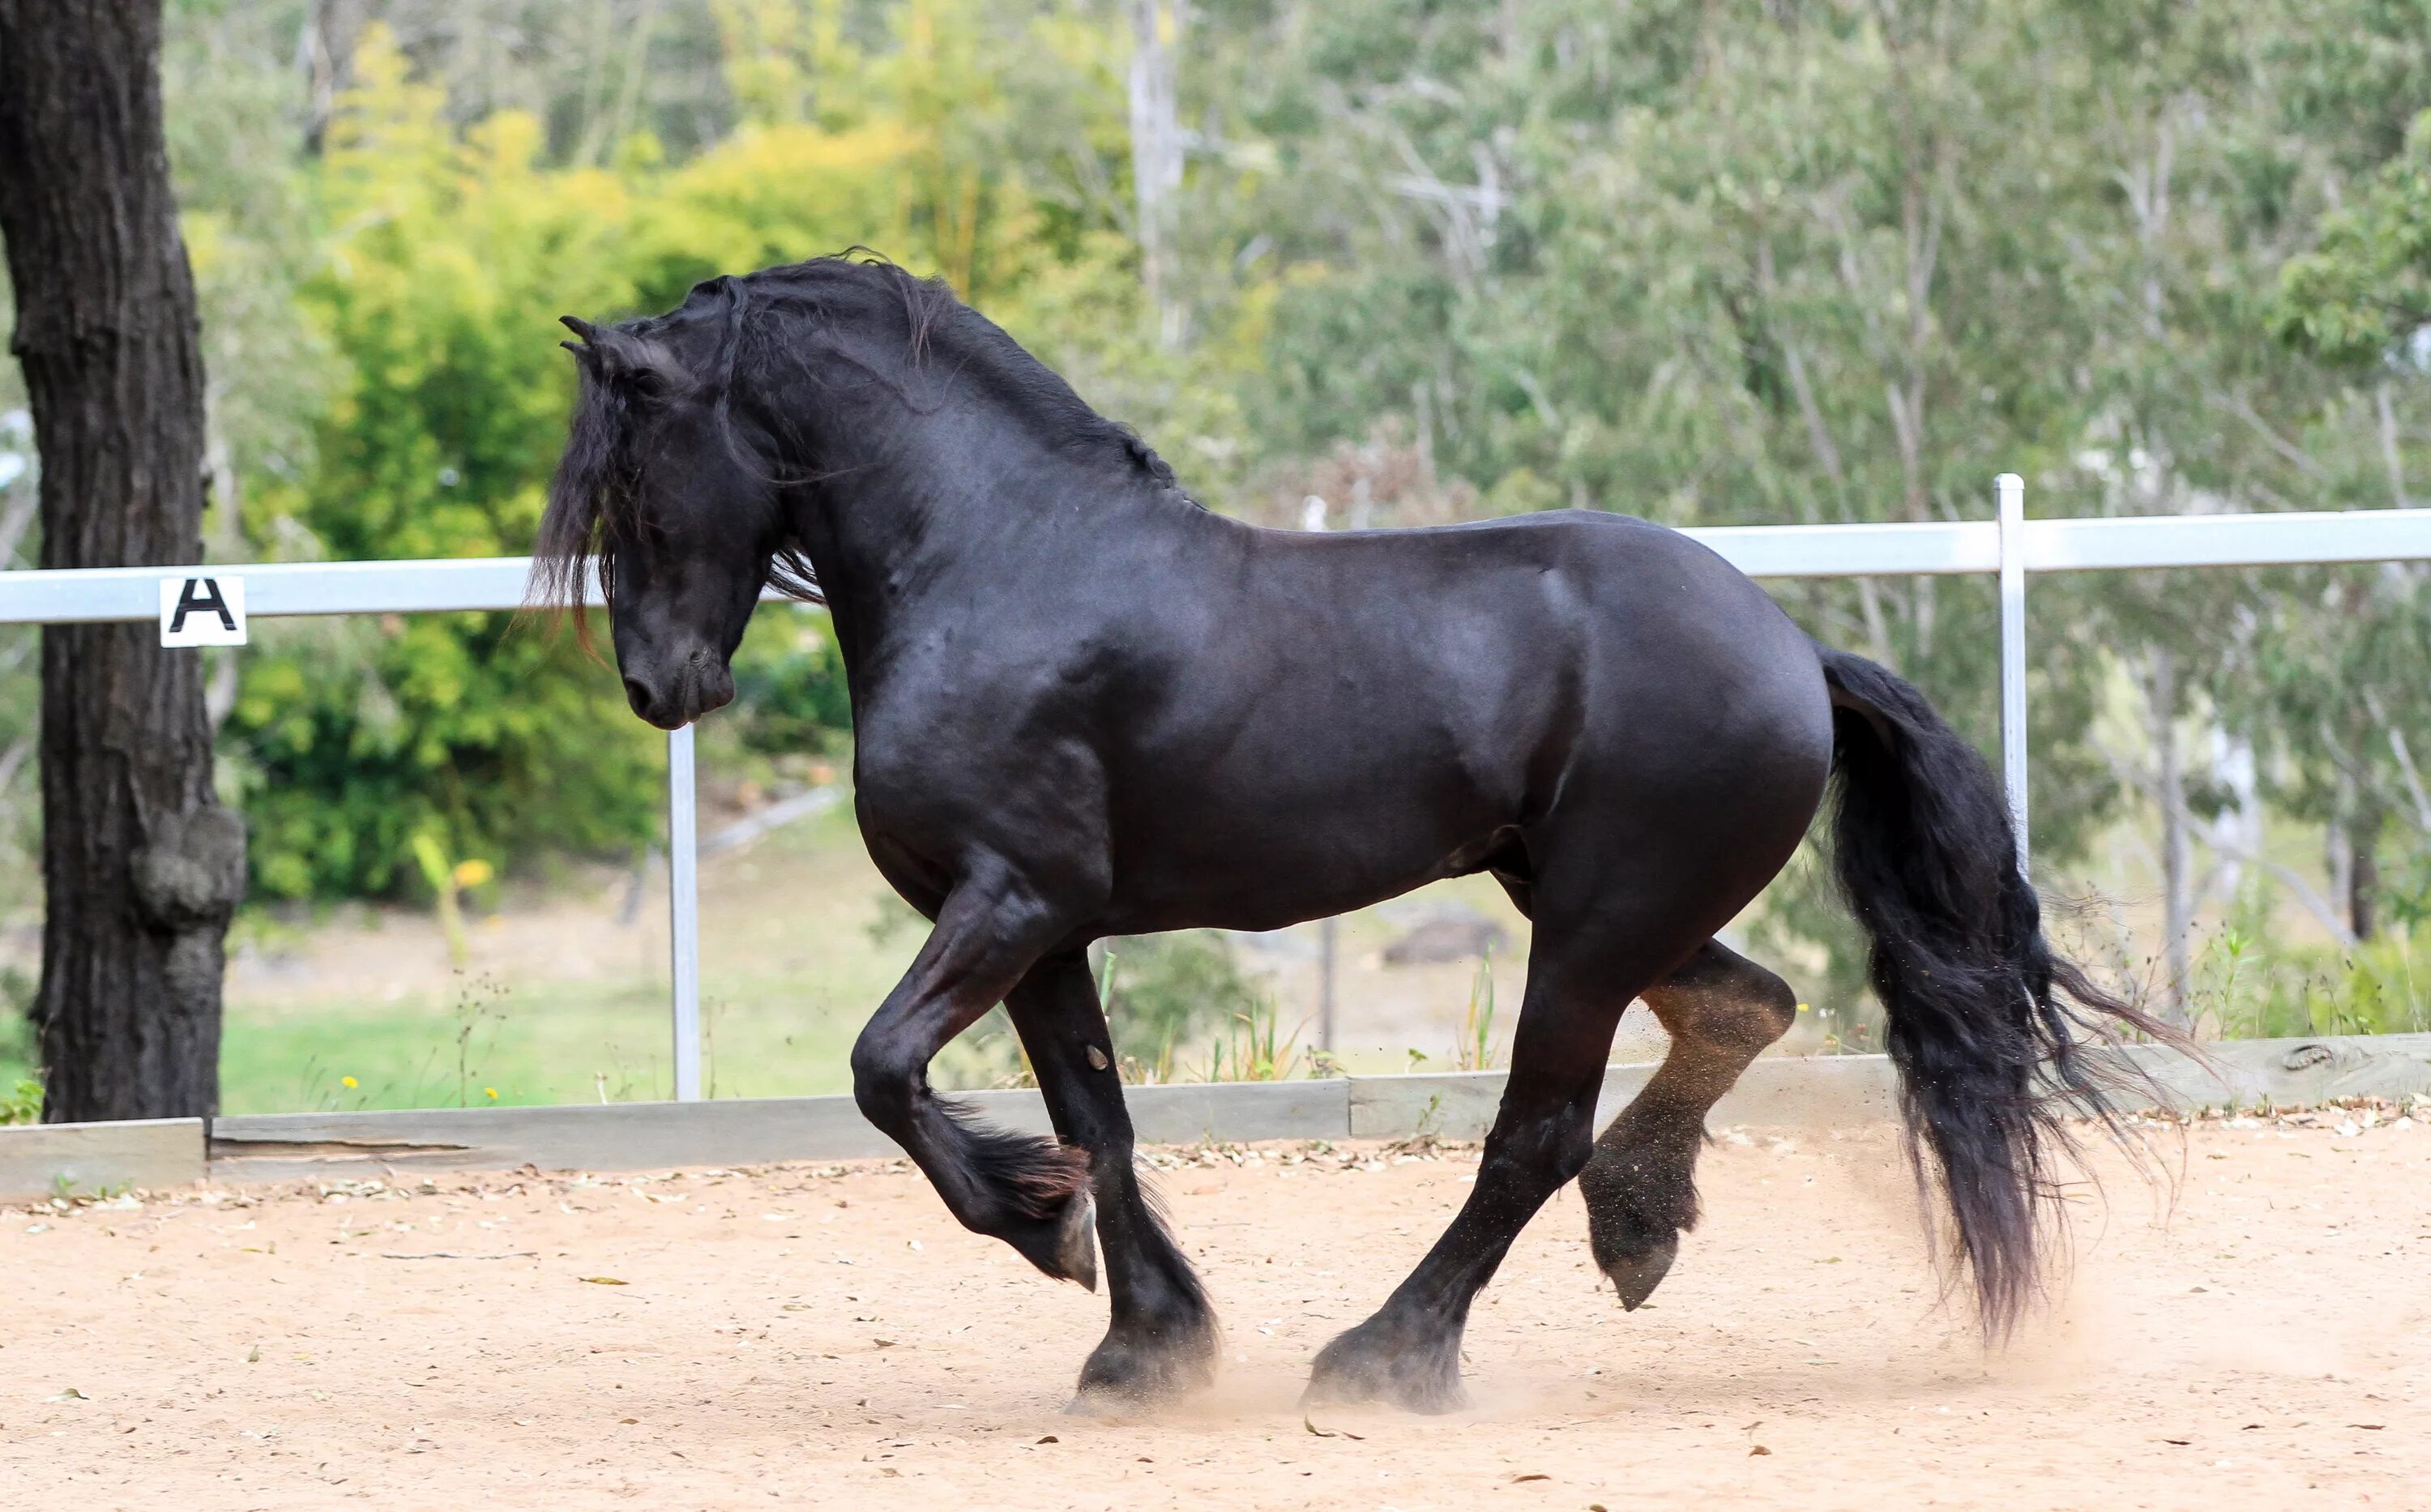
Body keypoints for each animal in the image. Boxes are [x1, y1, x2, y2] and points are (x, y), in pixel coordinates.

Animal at [542, 258, 2159, 1410]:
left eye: (638, 484)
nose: (658, 687)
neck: (1000, 565)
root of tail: (1793, 648)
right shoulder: (1045, 930)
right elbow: (1099, 1122)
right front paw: (1147, 1346)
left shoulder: (1008, 903)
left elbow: (884, 1069)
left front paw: (1041, 1228)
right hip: (1590, 900)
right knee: (1743, 1006)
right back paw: (1636, 1227)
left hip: (1590, 928)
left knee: (1538, 1133)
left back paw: (1392, 1353)